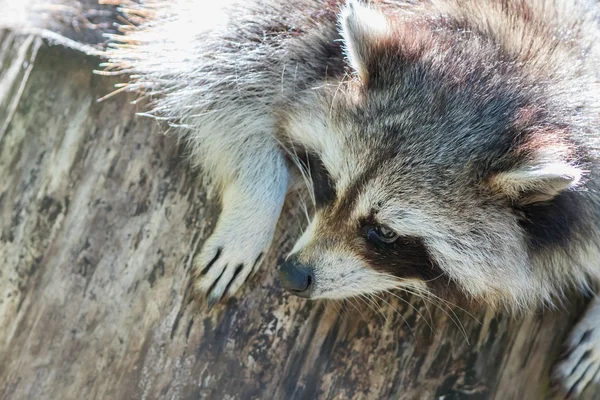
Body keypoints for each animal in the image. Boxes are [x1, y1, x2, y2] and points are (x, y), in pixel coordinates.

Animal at [22, 0, 600, 396]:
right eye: (328, 182)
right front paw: (256, 200)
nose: (293, 274)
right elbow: (215, 70)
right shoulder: (289, 24)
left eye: (382, 233)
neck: (517, 56)